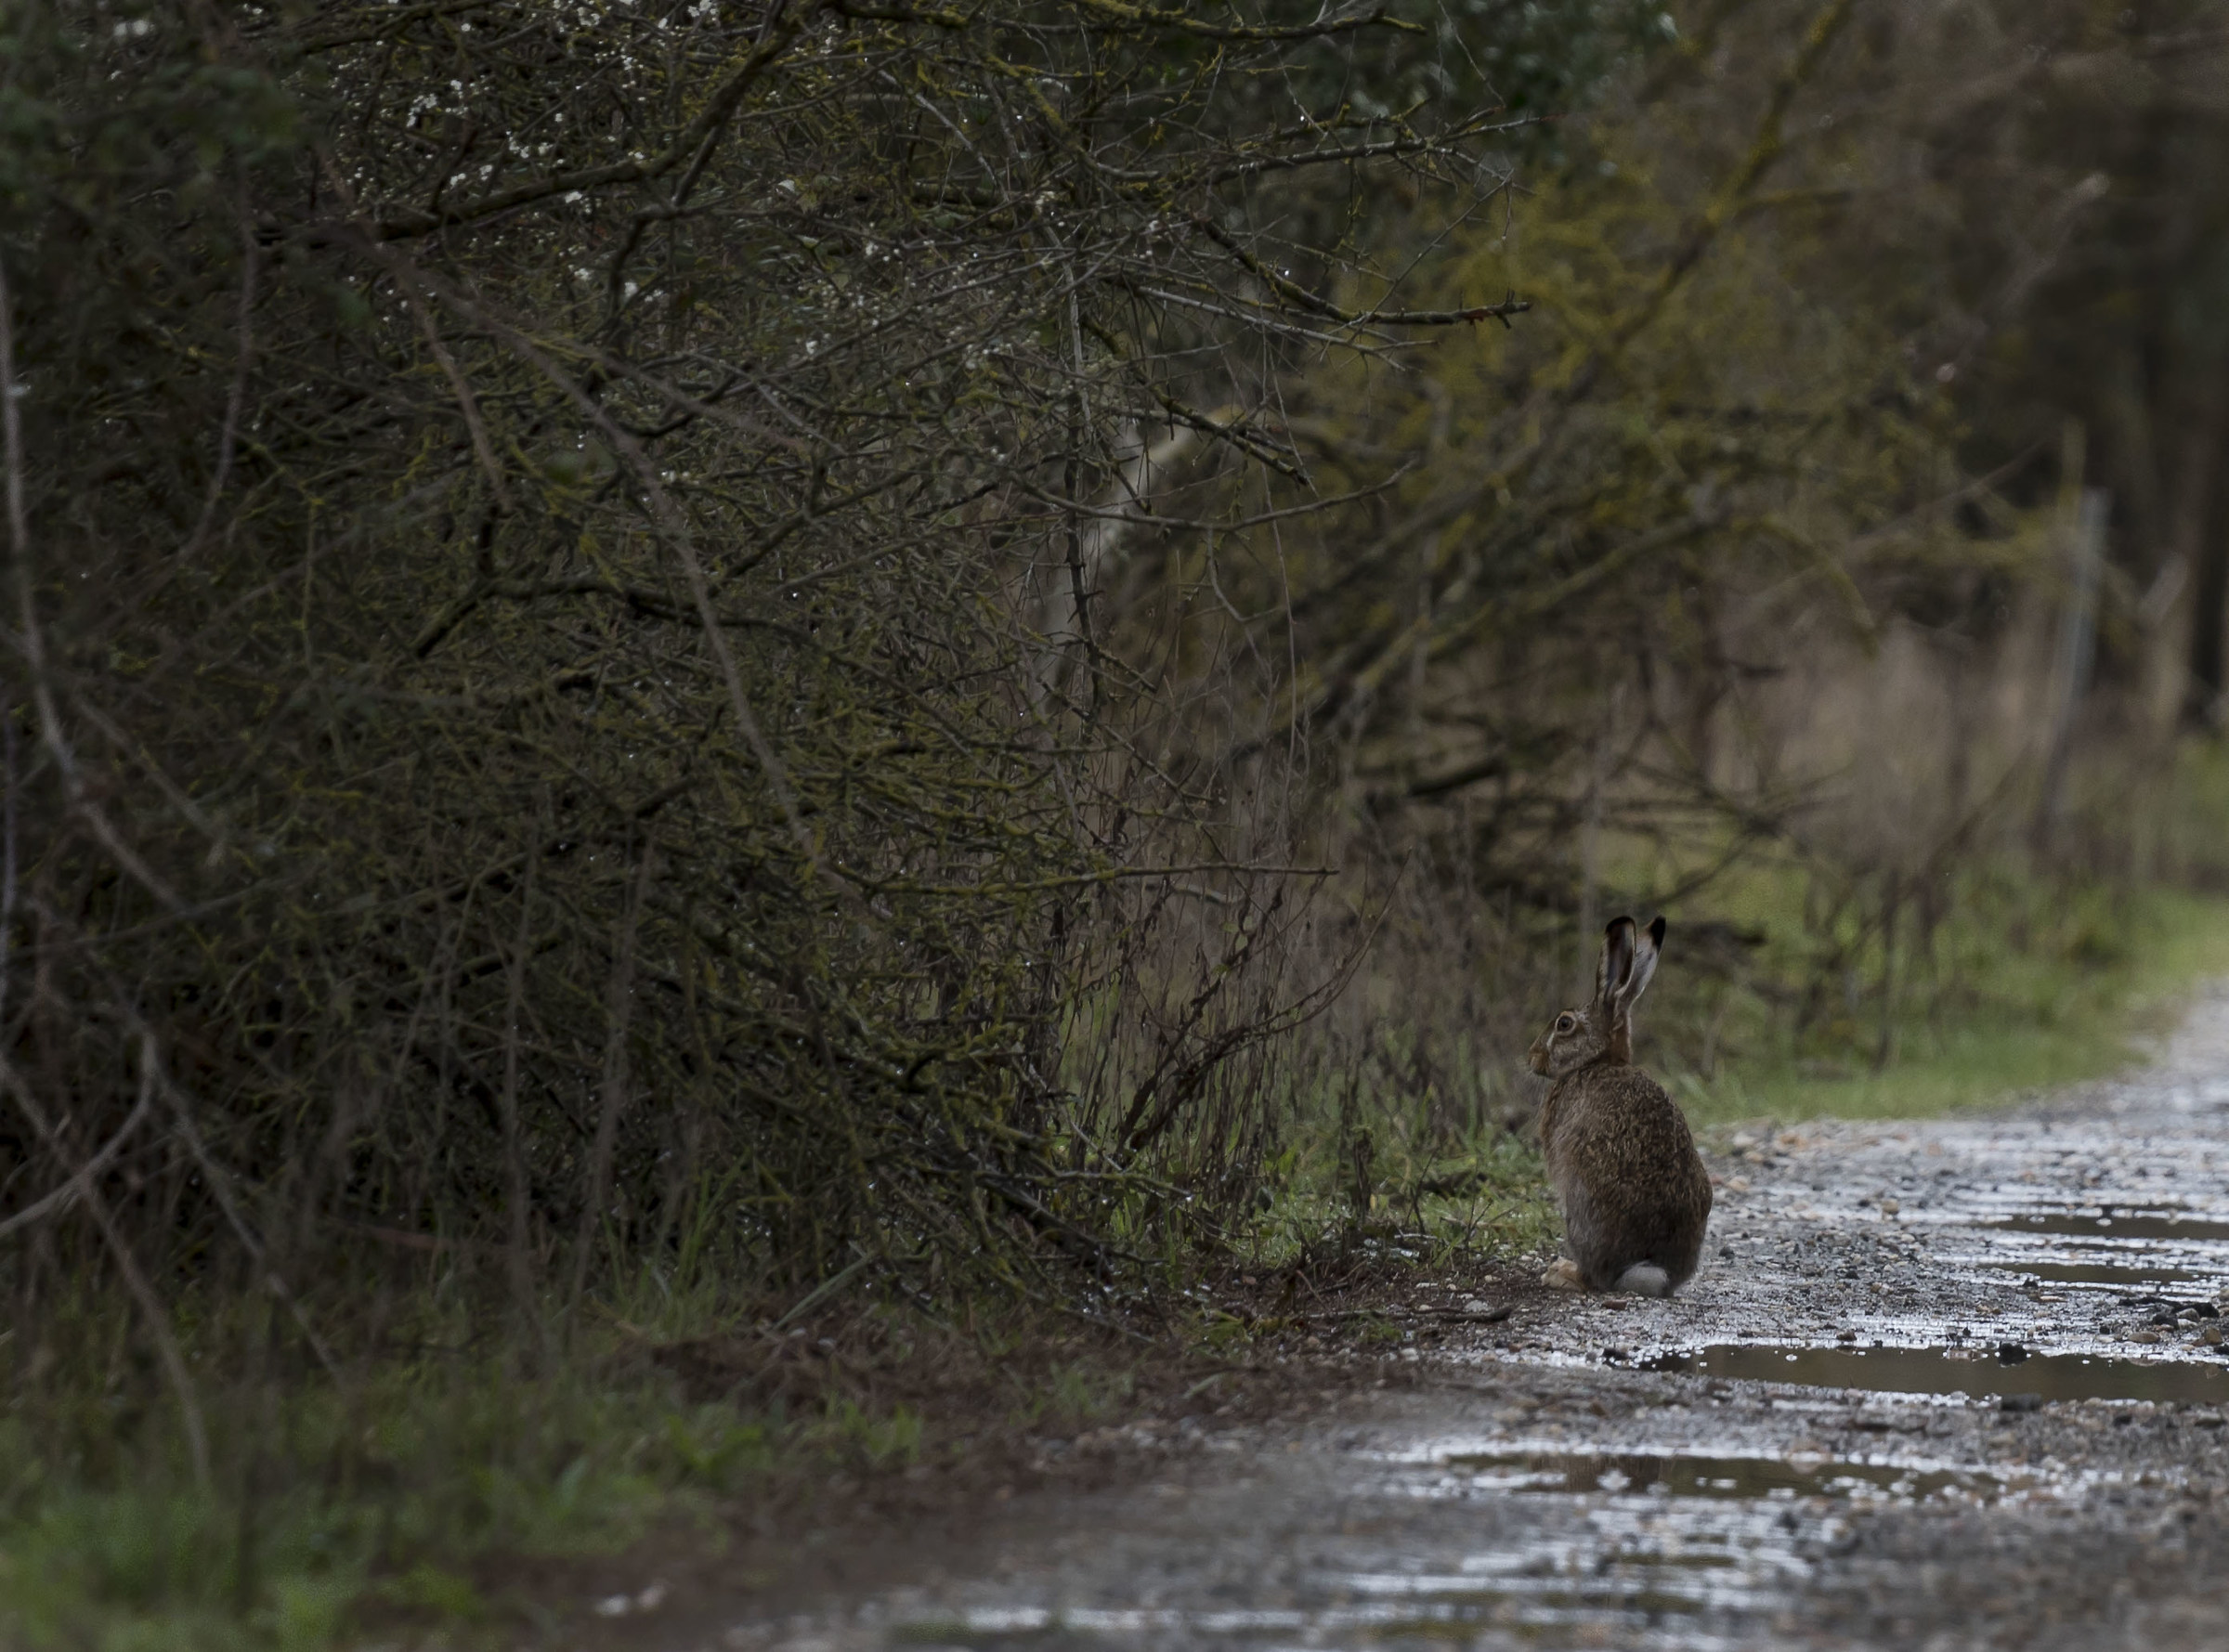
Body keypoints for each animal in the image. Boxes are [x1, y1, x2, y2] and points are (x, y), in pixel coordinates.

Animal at [1527, 915, 1711, 1298]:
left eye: (1564, 1024)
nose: (1532, 1057)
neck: (1597, 1061)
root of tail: (1649, 1267)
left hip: (1579, 1208)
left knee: (1596, 1278)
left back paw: (1563, 1274)